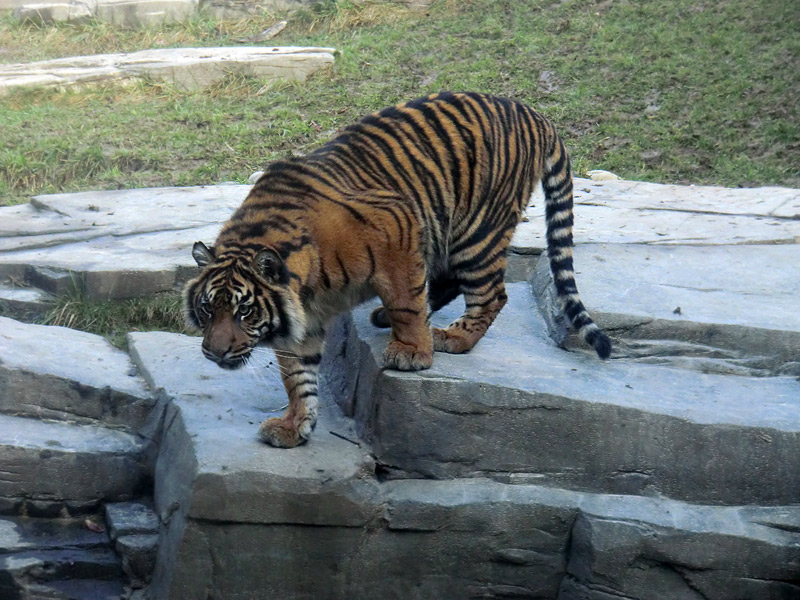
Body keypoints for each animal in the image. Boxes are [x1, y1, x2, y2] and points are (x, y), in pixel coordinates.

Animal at [184, 92, 608, 446]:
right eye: (207, 308)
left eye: (244, 310)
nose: (214, 352)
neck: (306, 284)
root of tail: (534, 113)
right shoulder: (303, 314)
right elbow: (296, 375)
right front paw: (293, 426)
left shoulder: (397, 230)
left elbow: (406, 300)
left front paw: (411, 353)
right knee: (448, 283)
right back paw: (394, 318)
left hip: (477, 230)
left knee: (490, 294)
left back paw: (453, 338)